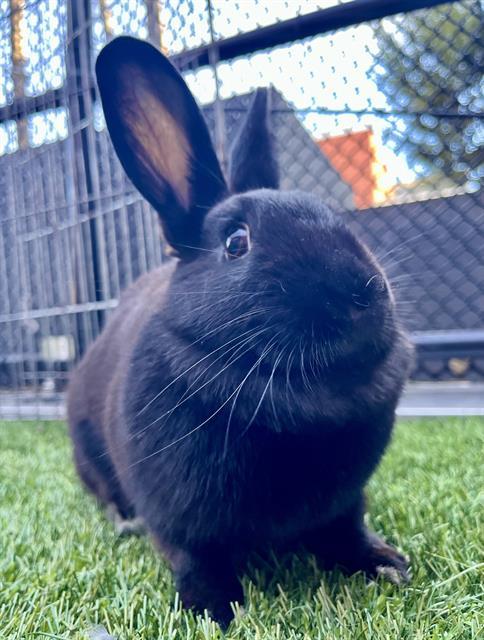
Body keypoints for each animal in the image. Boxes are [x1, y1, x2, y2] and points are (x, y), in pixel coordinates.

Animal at [67, 35, 414, 627]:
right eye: (236, 243)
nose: (362, 291)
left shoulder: (346, 501)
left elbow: (345, 530)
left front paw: (387, 564)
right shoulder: (178, 517)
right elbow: (194, 556)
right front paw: (214, 609)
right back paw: (123, 521)